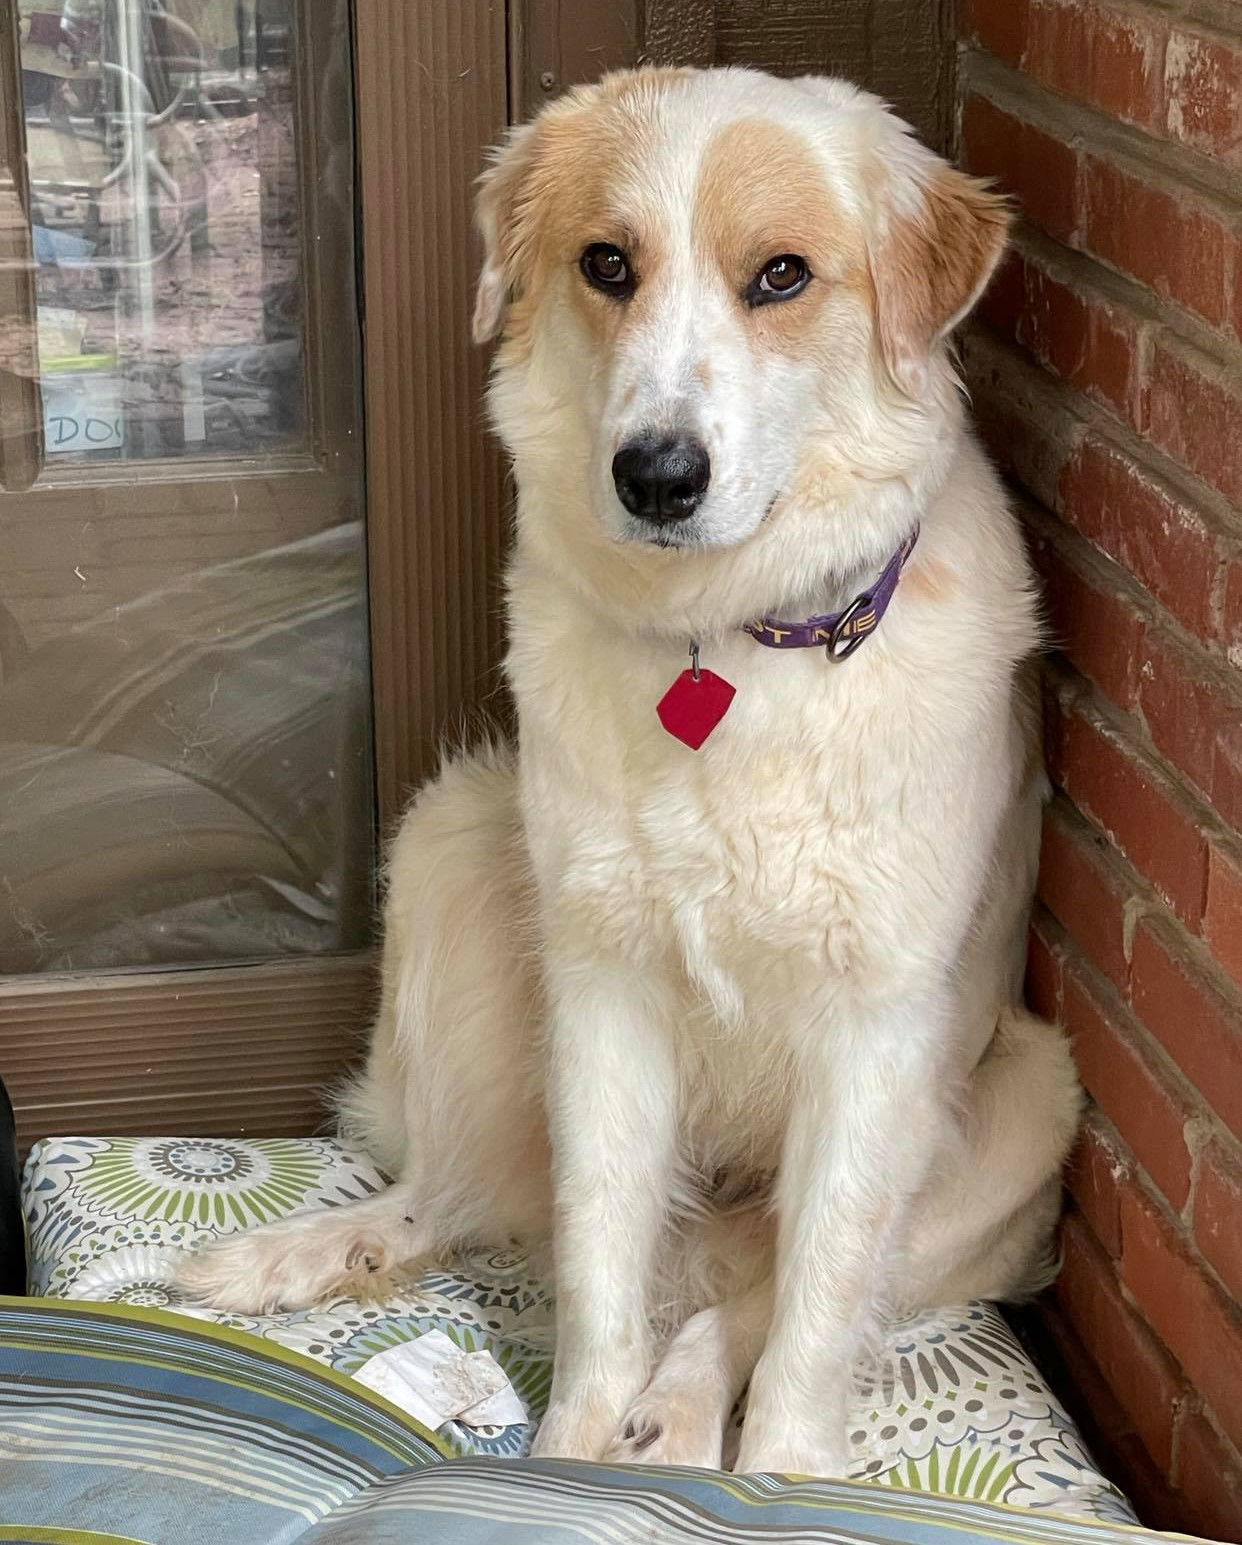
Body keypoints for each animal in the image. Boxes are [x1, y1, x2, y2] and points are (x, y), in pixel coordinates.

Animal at [179, 66, 1081, 1477]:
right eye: (608, 263)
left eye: (782, 276)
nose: (656, 474)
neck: (730, 645)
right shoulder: (602, 990)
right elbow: (599, 1259)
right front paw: (569, 1455)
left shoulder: (876, 1040)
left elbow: (814, 1304)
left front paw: (778, 1480)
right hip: (451, 836)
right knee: (473, 1195)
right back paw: (311, 1256)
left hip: (1028, 1102)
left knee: (741, 1294)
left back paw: (681, 1417)